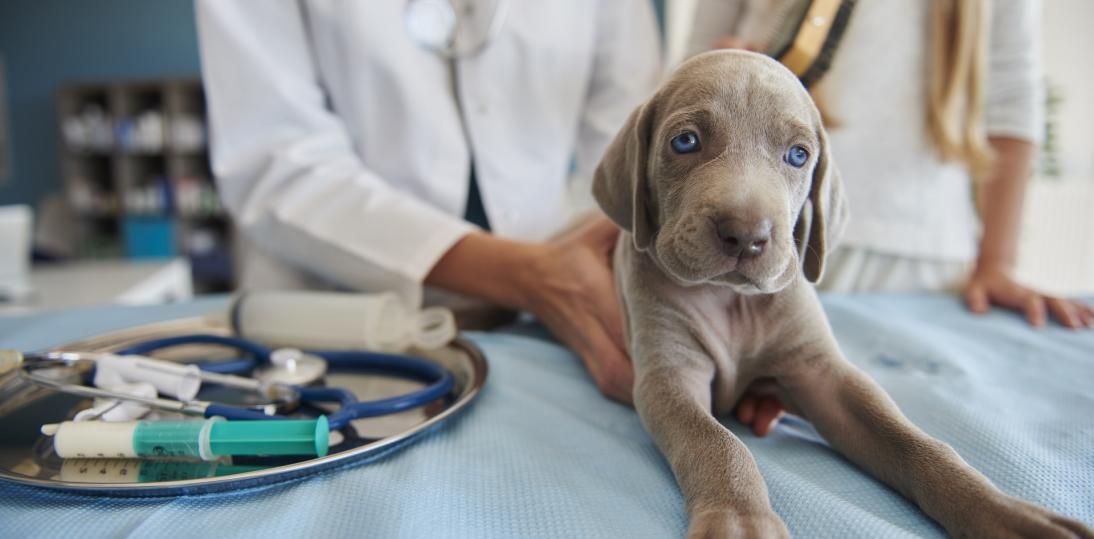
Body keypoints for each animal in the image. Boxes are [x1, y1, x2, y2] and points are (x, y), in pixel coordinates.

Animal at [599, 48, 1094, 535]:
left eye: (798, 155)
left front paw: (1005, 511)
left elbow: (913, 441)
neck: (731, 300)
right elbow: (715, 442)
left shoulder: (823, 375)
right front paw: (739, 520)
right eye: (685, 142)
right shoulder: (669, 378)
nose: (746, 236)